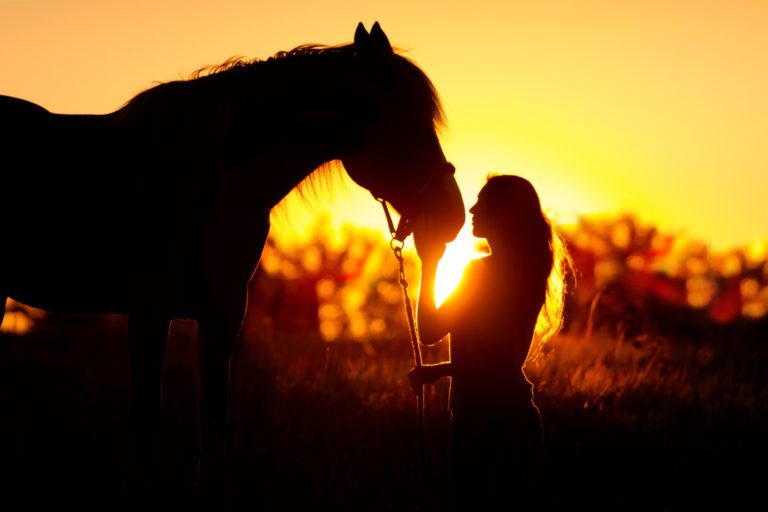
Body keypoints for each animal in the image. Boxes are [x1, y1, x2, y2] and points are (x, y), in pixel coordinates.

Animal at [0, 22, 465, 491]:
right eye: (406, 122)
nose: (452, 217)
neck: (206, 180)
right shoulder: (149, 310)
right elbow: (147, 419)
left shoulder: (222, 313)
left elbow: (213, 423)